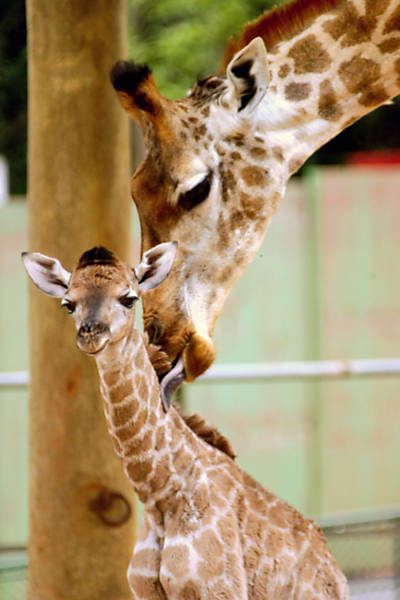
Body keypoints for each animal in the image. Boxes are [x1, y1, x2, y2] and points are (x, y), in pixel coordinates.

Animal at [22, 244, 346, 600]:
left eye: (129, 298)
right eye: (68, 303)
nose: (91, 335)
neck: (159, 497)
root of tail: (336, 573)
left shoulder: (219, 588)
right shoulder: (145, 590)